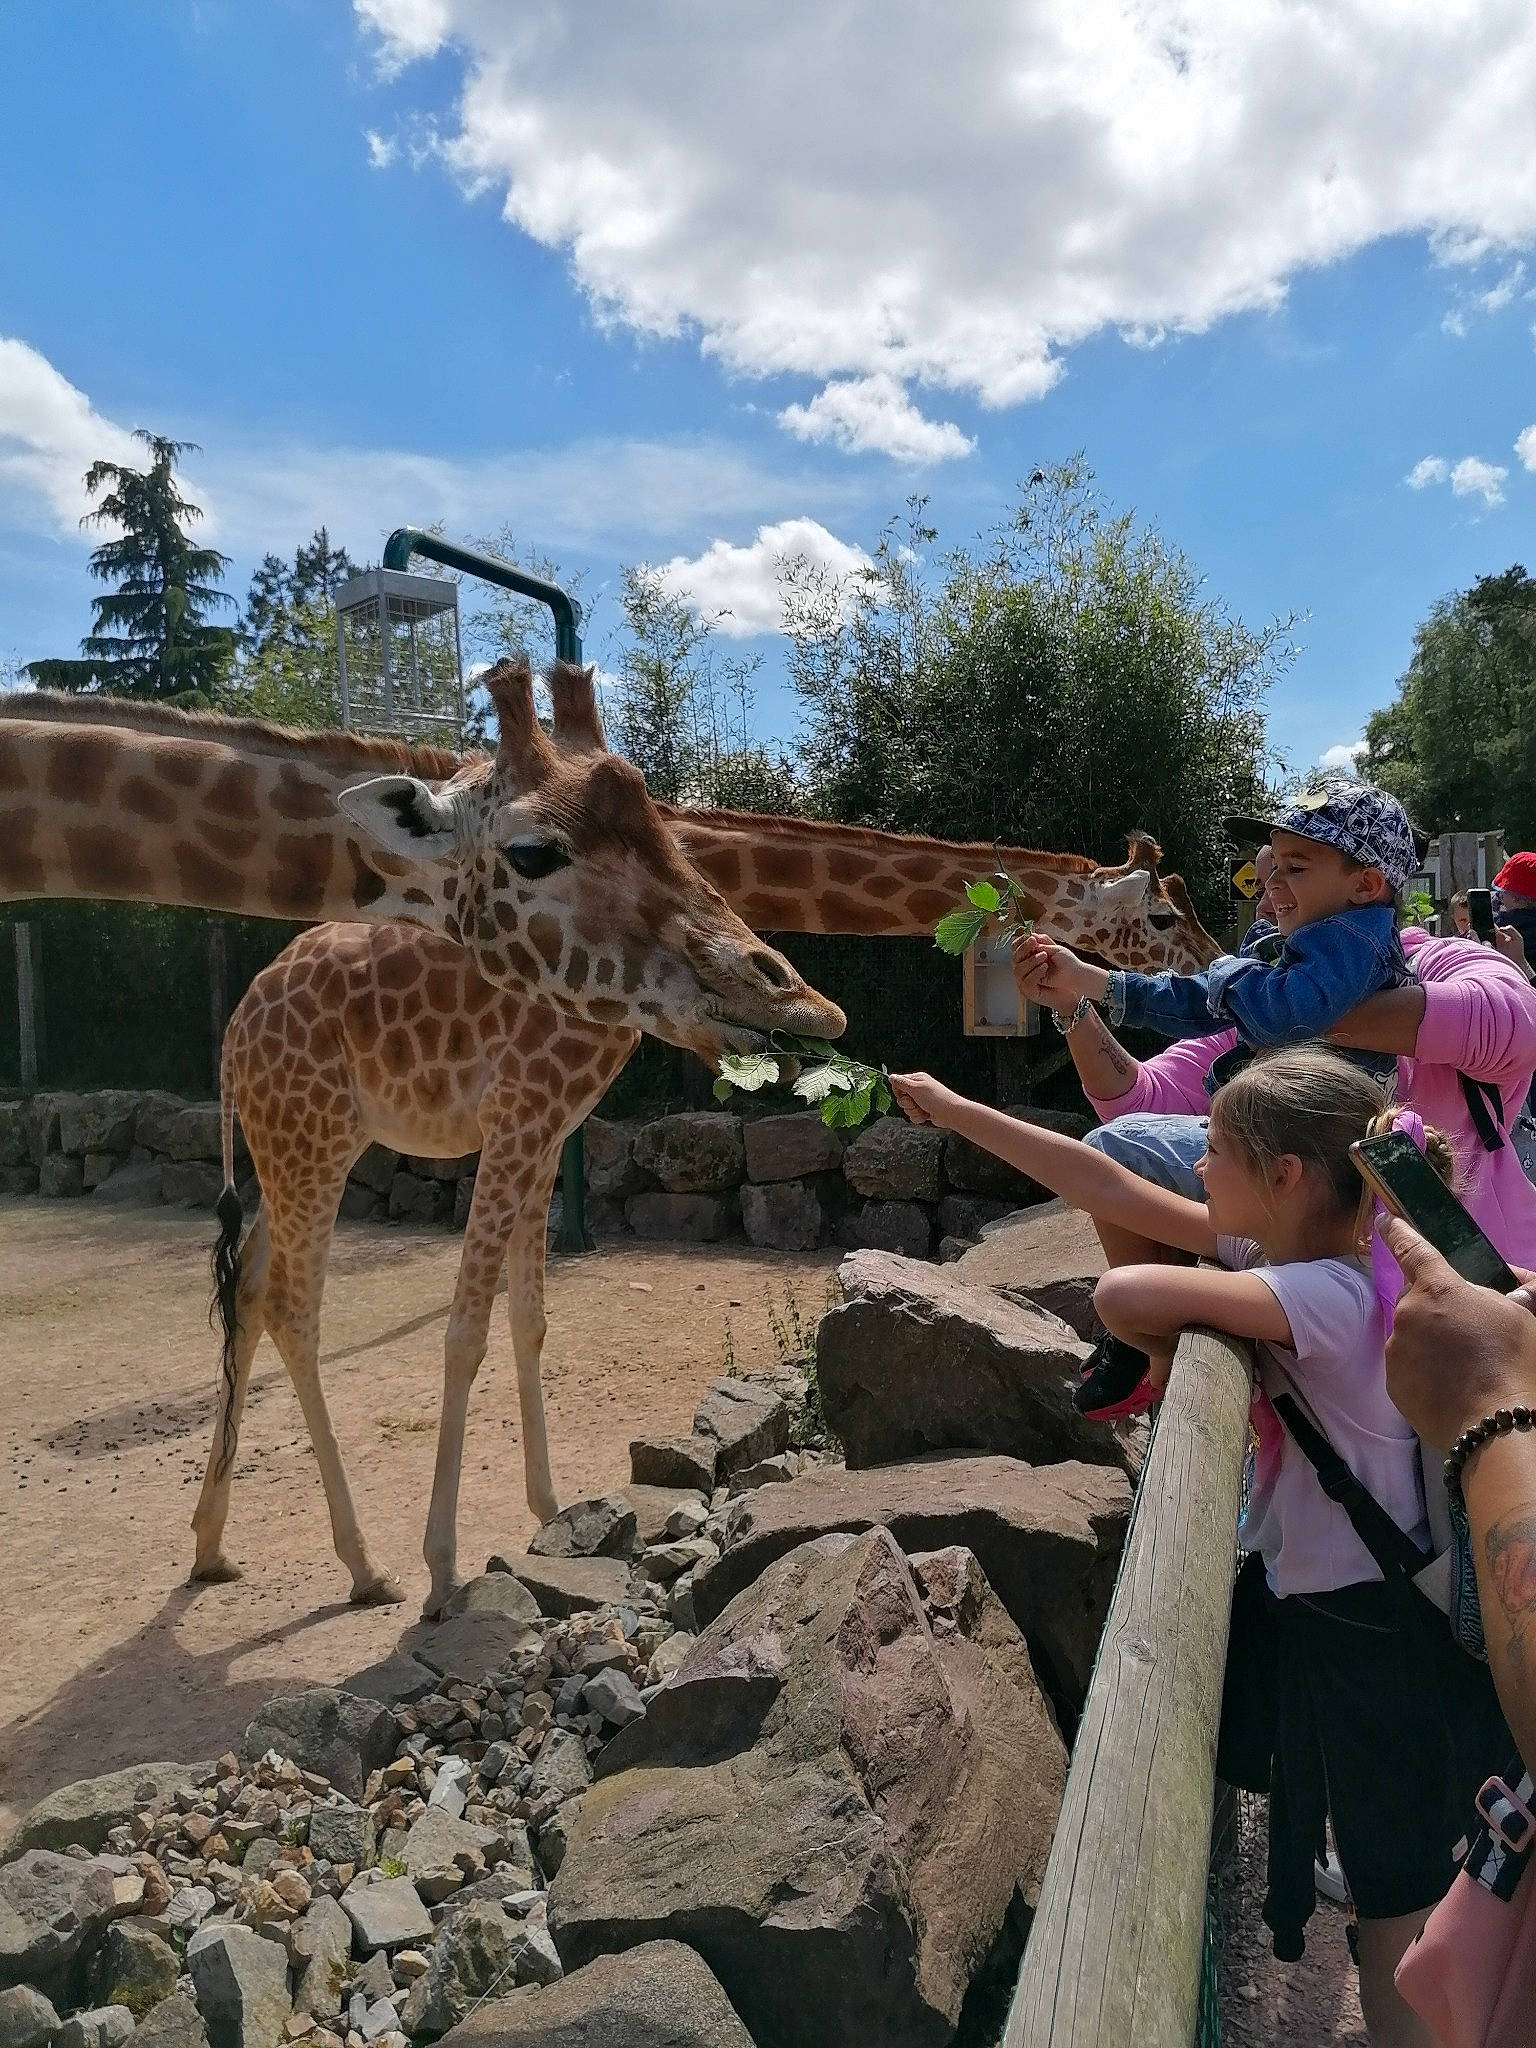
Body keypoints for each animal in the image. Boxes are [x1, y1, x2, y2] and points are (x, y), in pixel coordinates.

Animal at [193, 807, 1218, 1616]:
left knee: (246, 1293)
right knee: (291, 1307)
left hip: (296, 1146)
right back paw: (366, 1568)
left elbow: (529, 1320)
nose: (1219, 970)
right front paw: (445, 1573)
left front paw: (549, 1514)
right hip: (315, 1135)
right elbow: (467, 1329)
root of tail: (234, 1034)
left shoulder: (546, 1122)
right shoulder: (521, 1109)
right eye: (1163, 913)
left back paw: (210, 1546)